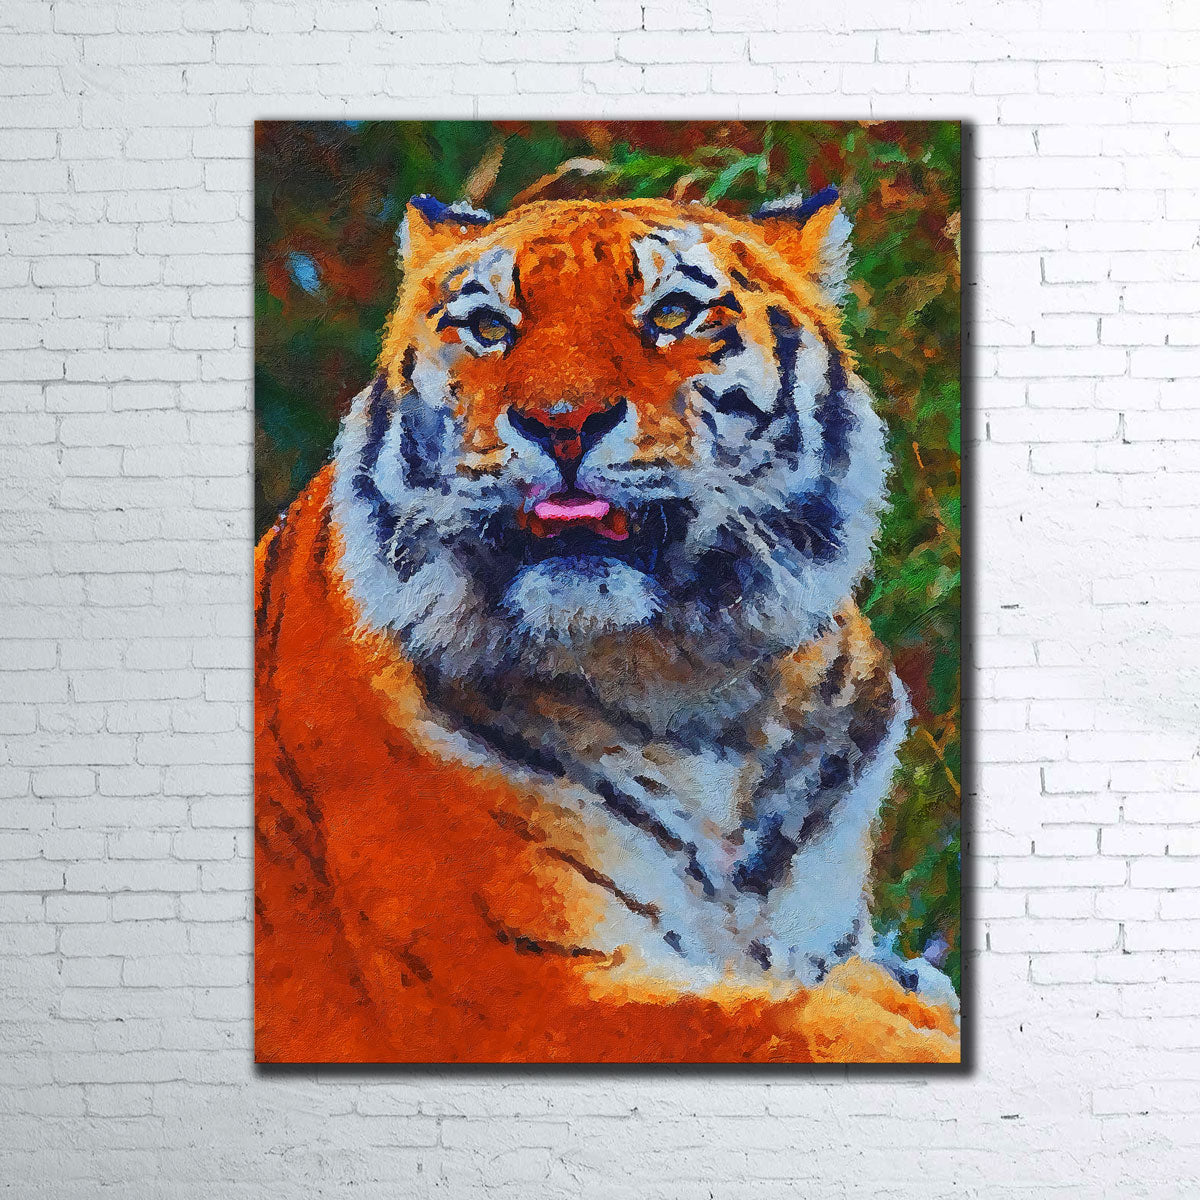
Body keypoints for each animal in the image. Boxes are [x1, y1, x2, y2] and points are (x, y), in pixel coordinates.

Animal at [254, 188, 961, 1063]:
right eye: (489, 326)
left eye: (673, 313)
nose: (563, 419)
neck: (694, 687)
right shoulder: (529, 994)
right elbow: (796, 1025)